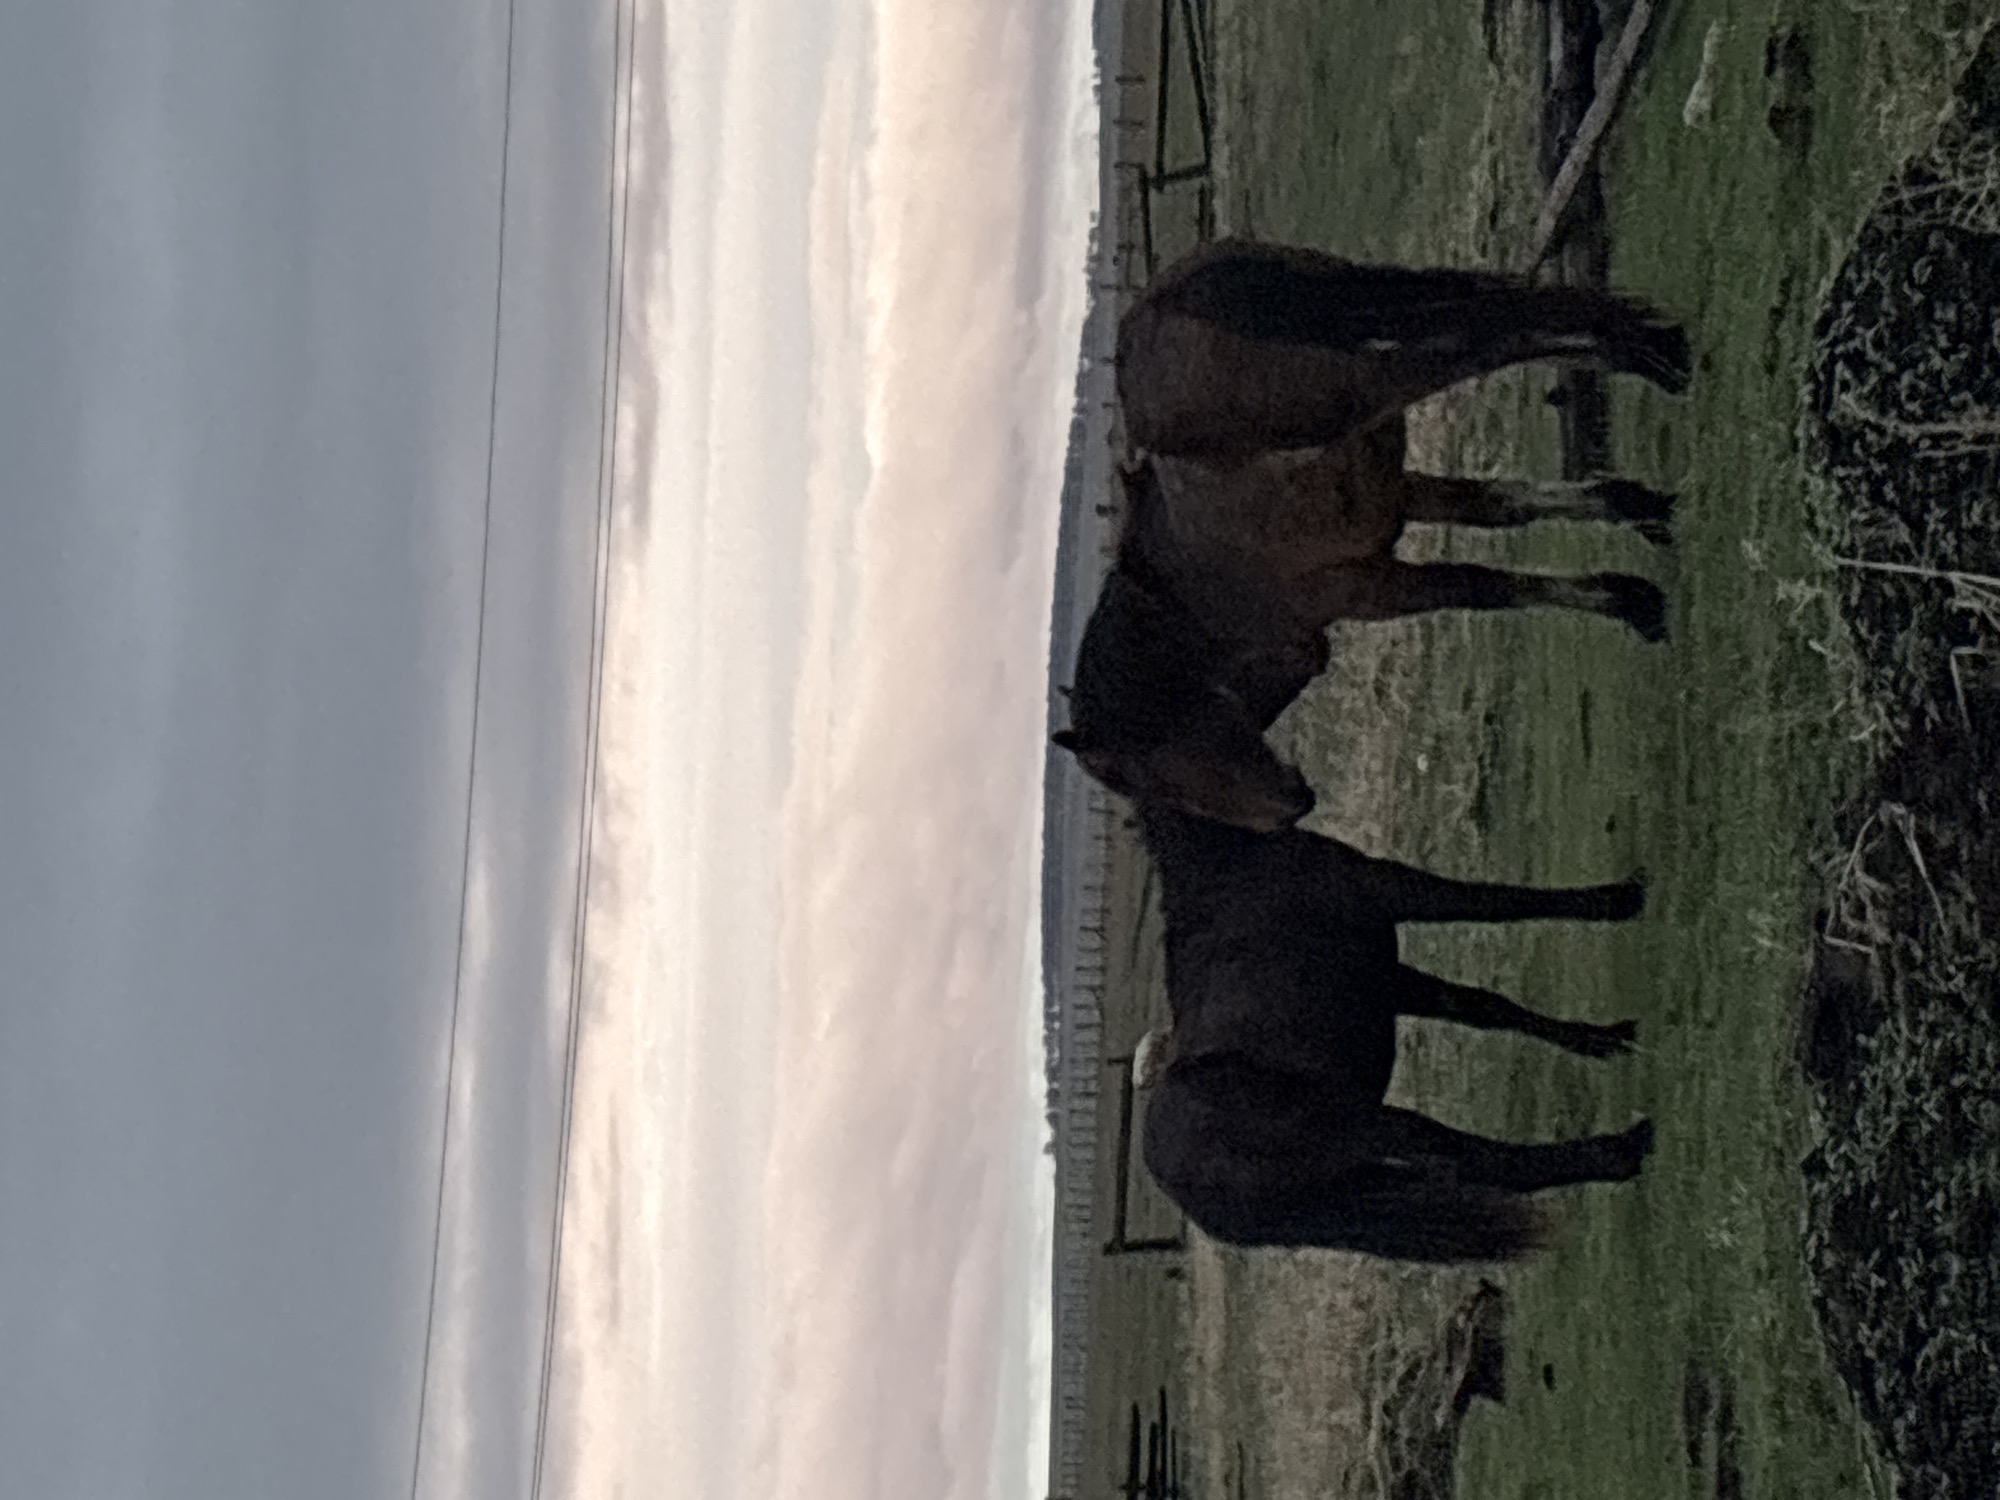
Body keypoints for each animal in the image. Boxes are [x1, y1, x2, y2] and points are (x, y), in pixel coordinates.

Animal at [1054, 237, 1692, 832]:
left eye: (1146, 781)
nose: (1291, 810)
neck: (1197, 600)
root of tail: (1165, 300)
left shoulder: (1367, 589)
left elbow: (1478, 586)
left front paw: (1627, 599)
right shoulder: (1398, 497)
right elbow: (1504, 508)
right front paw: (1632, 530)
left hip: (1366, 385)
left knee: (1482, 343)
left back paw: (1642, 353)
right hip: (1378, 309)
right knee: (1496, 314)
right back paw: (1642, 345)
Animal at [1130, 803, 1655, 1263]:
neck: (1224, 862)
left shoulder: (1391, 979)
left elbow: (1487, 1006)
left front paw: (1600, 1039)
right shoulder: (1395, 890)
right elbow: (1499, 902)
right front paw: (1618, 899)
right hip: (1373, 1127)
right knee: (1481, 1162)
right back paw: (1626, 1149)